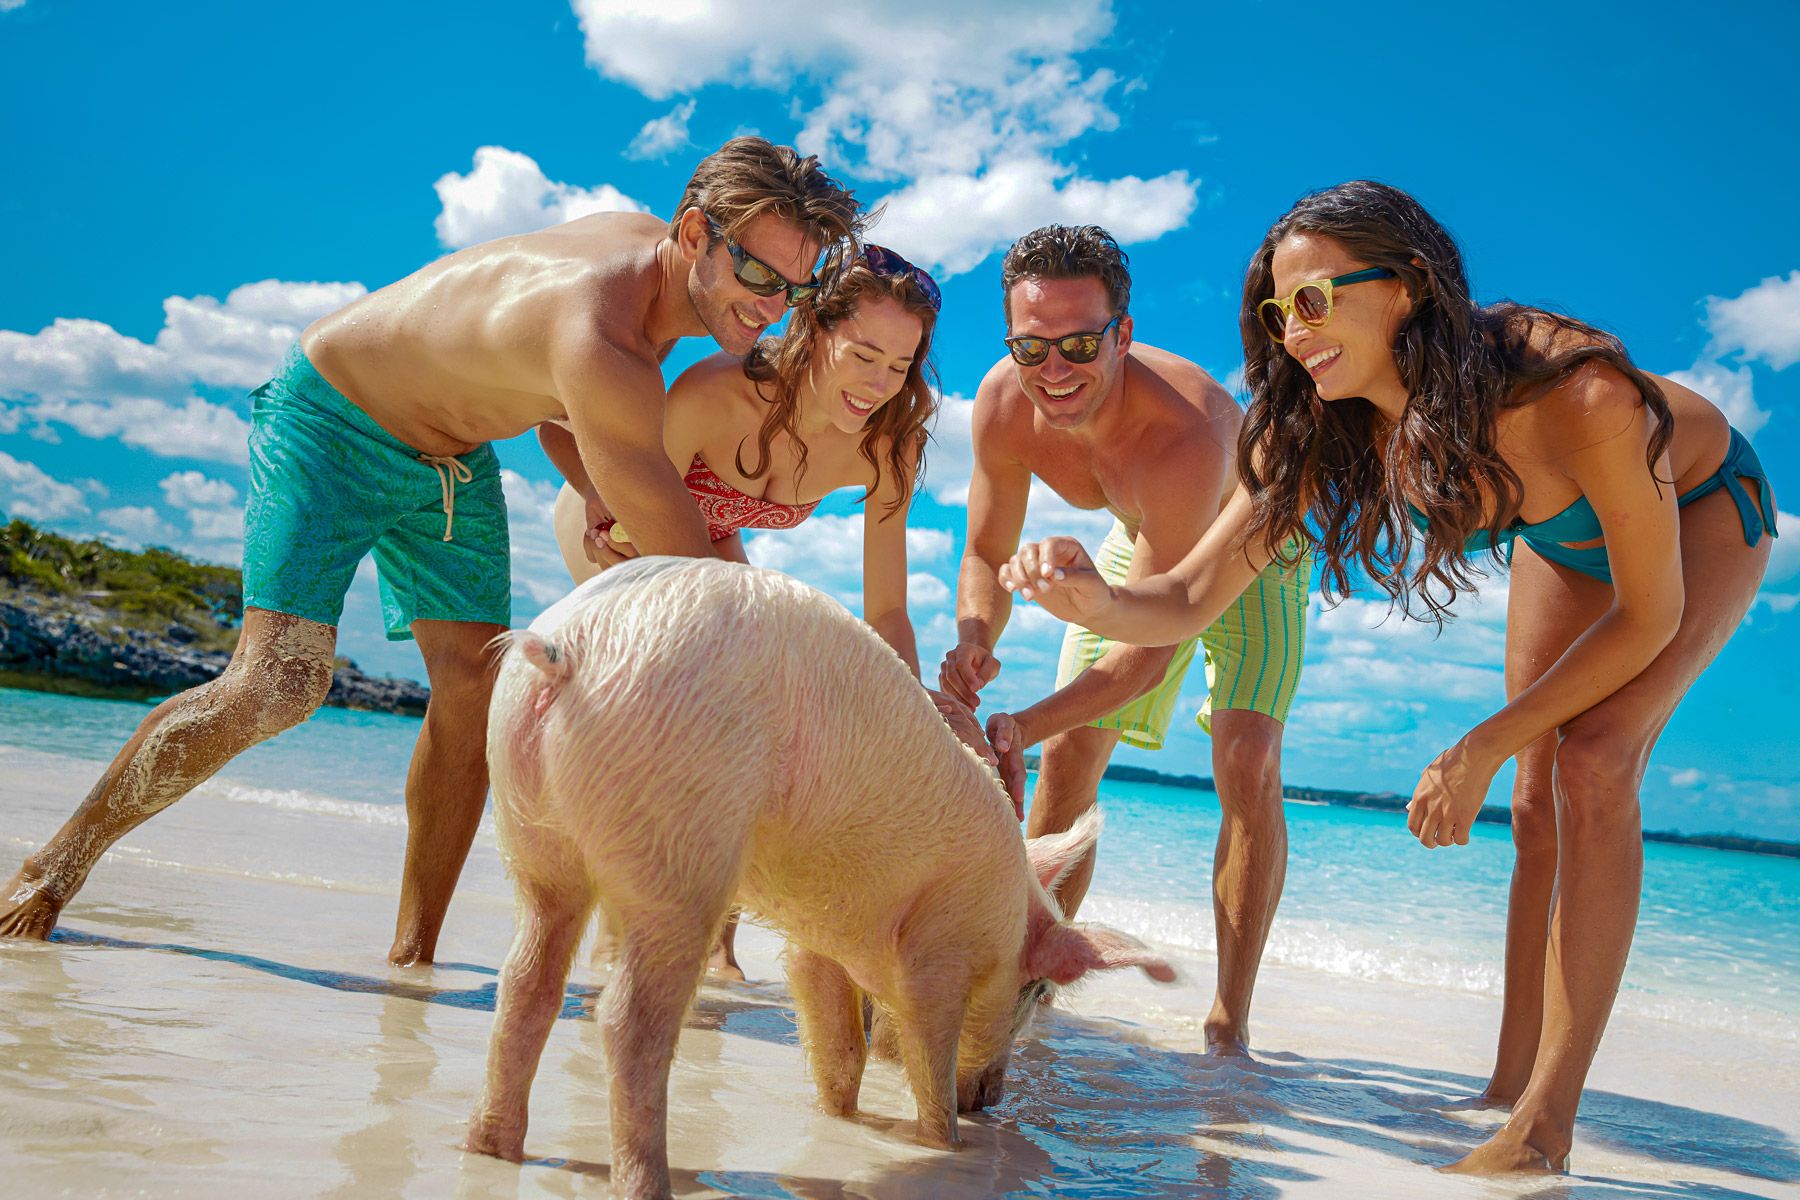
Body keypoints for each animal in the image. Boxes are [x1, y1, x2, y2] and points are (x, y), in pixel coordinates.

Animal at [460, 561, 1166, 1200]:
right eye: (1034, 991)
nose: (992, 1100)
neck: (1007, 915)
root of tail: (571, 647)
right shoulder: (939, 949)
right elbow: (929, 1055)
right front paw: (948, 1146)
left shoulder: (820, 934)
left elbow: (840, 1041)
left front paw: (842, 1119)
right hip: (680, 837)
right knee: (627, 1020)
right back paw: (649, 1184)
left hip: (530, 830)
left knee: (528, 979)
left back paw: (490, 1147)